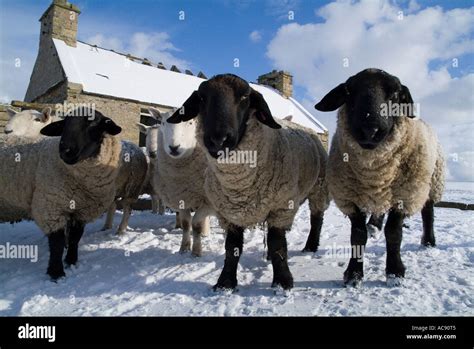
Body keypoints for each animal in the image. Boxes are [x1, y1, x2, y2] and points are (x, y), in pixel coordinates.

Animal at [0, 107, 122, 278]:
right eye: (65, 124)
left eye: (92, 123)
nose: (66, 150)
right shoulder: (51, 207)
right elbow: (57, 242)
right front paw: (56, 273)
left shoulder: (82, 210)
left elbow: (75, 237)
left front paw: (71, 261)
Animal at [137, 107, 211, 256]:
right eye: (163, 122)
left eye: (190, 122)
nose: (174, 147)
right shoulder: (180, 196)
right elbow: (186, 223)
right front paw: (184, 248)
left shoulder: (208, 200)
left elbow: (197, 224)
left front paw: (196, 252)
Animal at [168, 74, 330, 290]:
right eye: (202, 98)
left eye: (245, 97)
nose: (219, 140)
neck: (240, 185)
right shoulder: (229, 212)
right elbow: (232, 247)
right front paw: (225, 283)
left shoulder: (280, 206)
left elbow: (277, 243)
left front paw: (282, 282)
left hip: (319, 187)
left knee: (316, 218)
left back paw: (310, 247)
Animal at [314, 68, 444, 286]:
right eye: (349, 91)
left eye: (396, 94)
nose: (370, 130)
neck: (373, 172)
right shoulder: (349, 197)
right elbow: (358, 235)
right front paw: (354, 274)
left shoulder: (404, 195)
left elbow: (394, 232)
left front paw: (394, 272)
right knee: (379, 210)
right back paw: (374, 227)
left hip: (431, 181)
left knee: (428, 211)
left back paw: (428, 241)